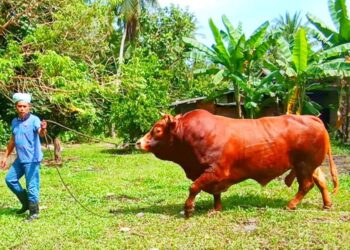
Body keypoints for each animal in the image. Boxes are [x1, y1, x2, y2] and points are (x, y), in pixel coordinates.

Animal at [135, 109, 338, 217]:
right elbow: (214, 193)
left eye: (158, 130)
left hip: (304, 165)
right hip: (309, 165)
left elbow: (193, 187)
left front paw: (189, 208)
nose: (138, 142)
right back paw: (327, 204)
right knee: (321, 181)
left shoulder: (216, 170)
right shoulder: (213, 175)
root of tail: (311, 117)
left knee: (307, 185)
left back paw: (291, 205)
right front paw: (216, 209)